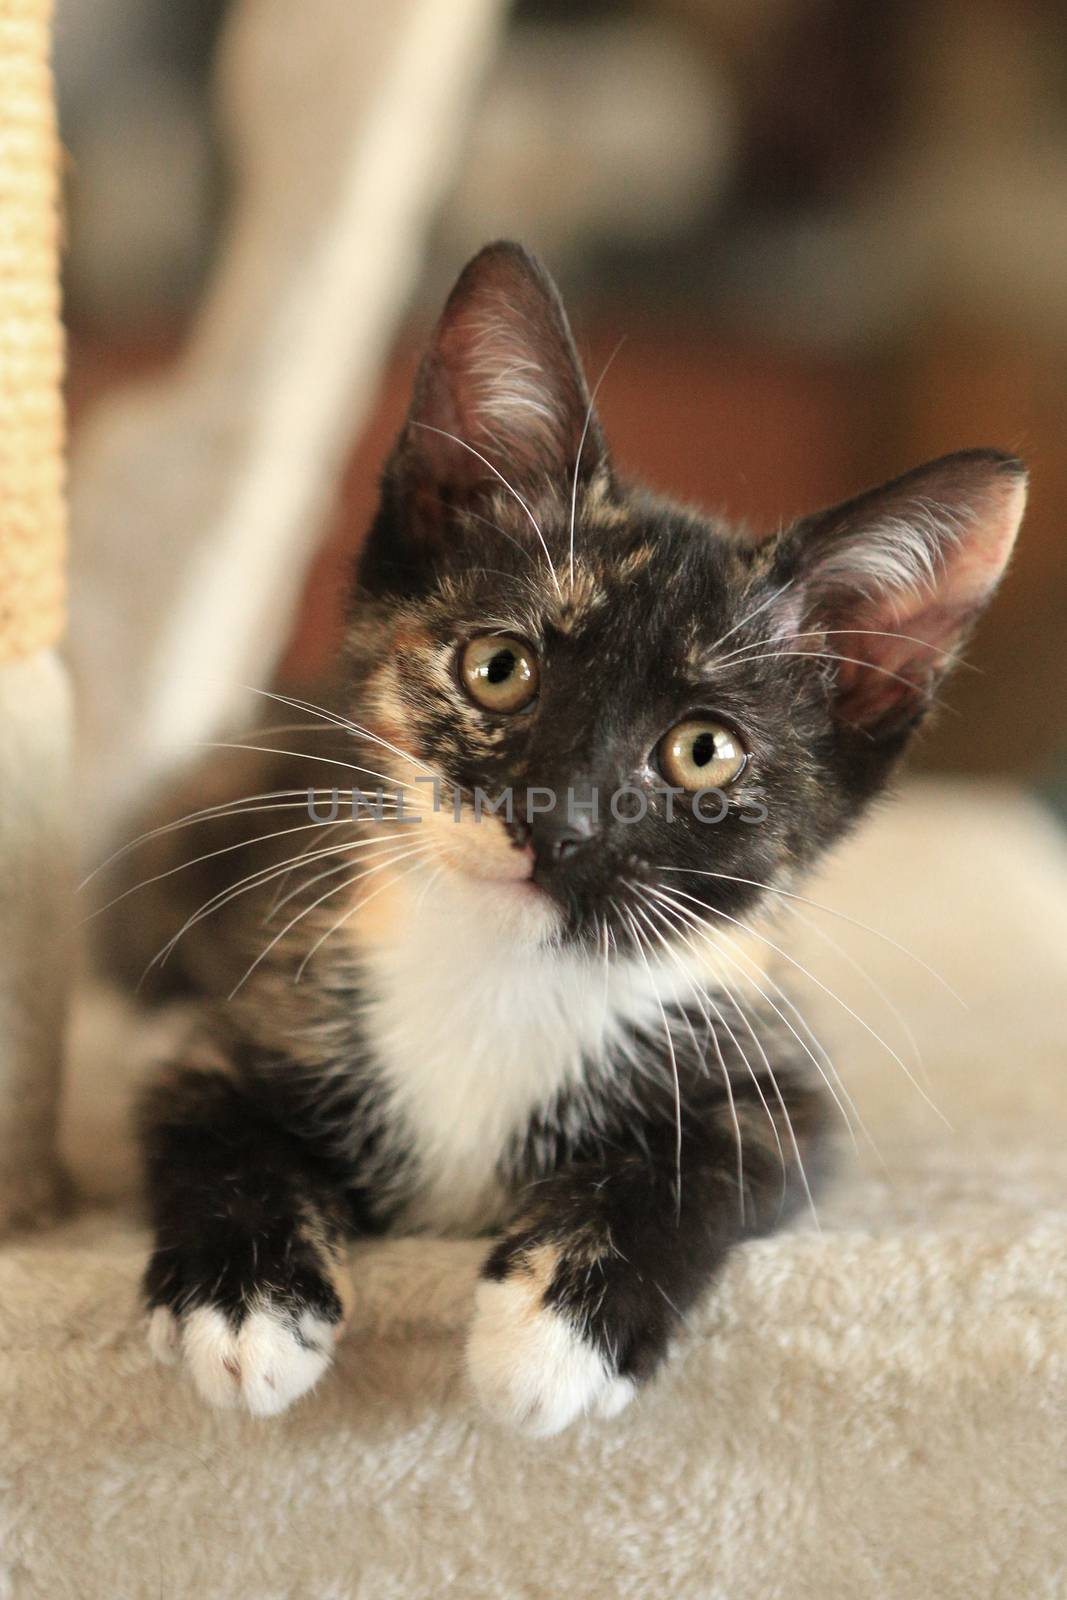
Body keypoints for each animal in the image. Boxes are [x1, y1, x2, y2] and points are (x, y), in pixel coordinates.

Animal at [115, 243, 1023, 1433]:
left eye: (702, 752)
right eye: (498, 668)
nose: (558, 817)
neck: (502, 973)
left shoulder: (774, 1080)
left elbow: (706, 1165)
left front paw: (554, 1336)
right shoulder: (245, 1014)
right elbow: (210, 1128)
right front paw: (241, 1306)